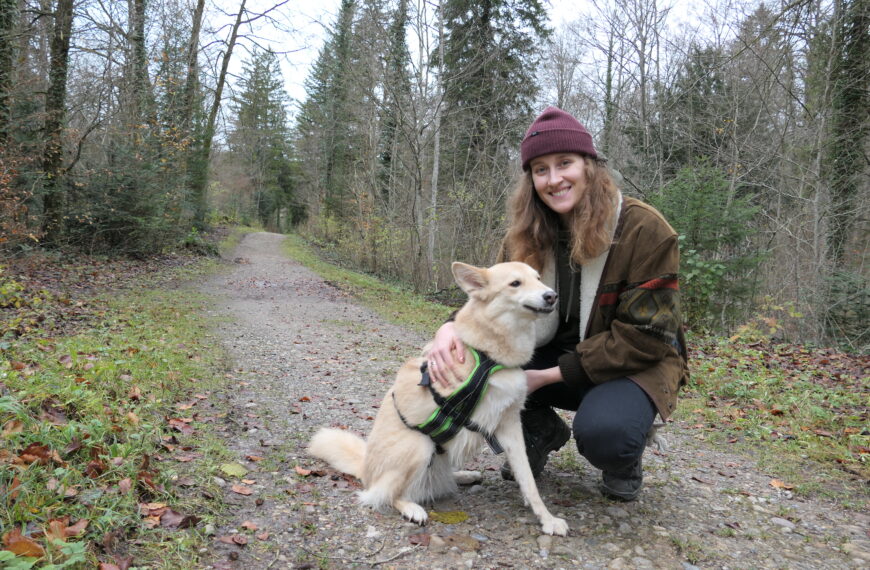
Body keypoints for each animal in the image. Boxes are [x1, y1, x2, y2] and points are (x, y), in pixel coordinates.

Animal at [308, 260, 572, 536]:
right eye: (515, 283)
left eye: (538, 278)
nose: (551, 296)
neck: (488, 354)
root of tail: (366, 470)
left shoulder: (510, 424)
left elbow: (528, 480)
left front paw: (546, 518)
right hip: (419, 446)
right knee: (387, 494)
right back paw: (412, 508)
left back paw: (462, 476)